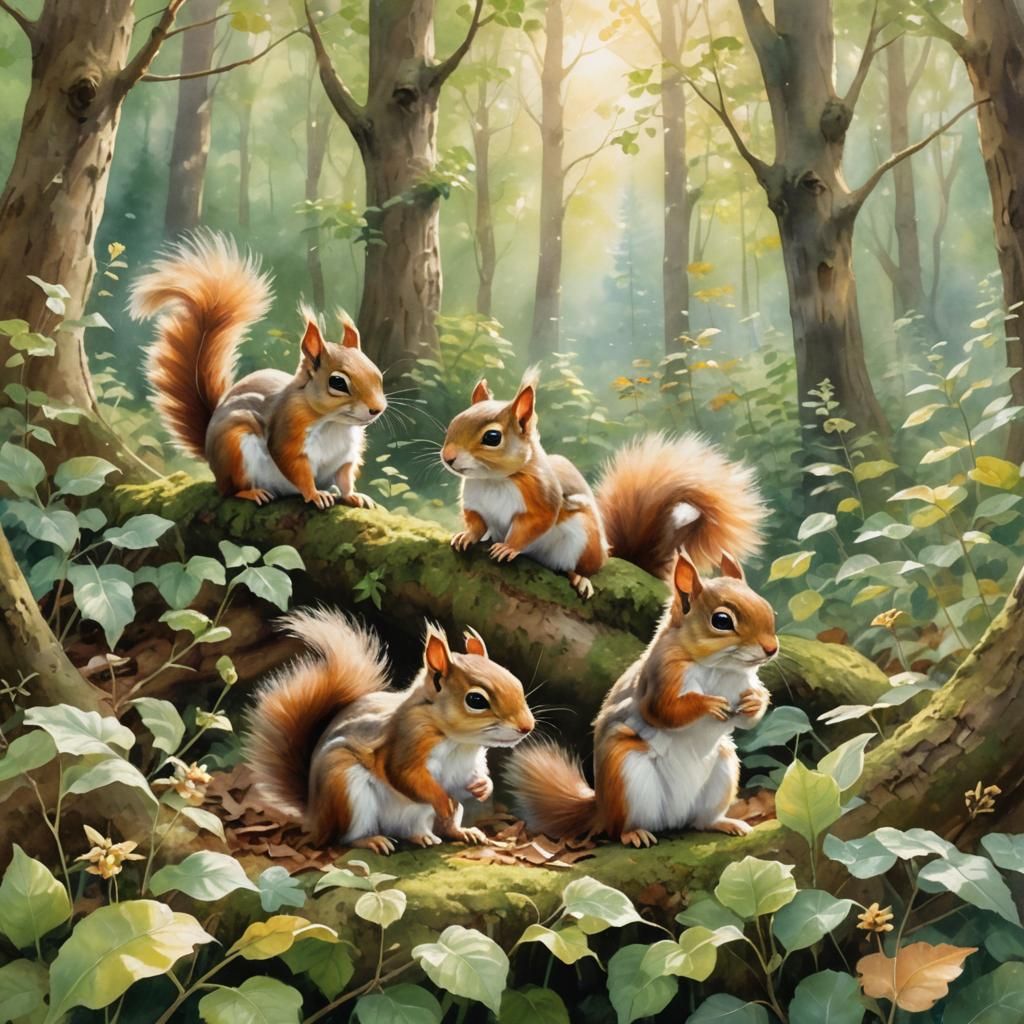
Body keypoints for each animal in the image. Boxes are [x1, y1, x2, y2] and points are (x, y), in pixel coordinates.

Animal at [130, 231, 386, 511]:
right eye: (338, 383)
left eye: (378, 375)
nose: (377, 409)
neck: (334, 422)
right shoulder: (288, 436)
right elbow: (297, 470)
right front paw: (315, 494)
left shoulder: (346, 455)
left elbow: (345, 476)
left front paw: (354, 495)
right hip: (235, 449)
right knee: (229, 490)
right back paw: (252, 493)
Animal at [245, 608, 535, 854]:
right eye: (476, 700)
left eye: (515, 681)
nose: (527, 727)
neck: (459, 742)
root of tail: (317, 818)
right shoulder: (407, 741)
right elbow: (404, 775)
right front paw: (442, 799)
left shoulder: (467, 765)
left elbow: (472, 777)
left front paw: (483, 787)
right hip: (345, 789)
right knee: (345, 838)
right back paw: (373, 840)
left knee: (428, 829)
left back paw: (454, 833)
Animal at [440, 370, 764, 597]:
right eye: (452, 425)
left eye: (492, 437)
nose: (448, 457)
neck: (492, 480)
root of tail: (606, 552)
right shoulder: (474, 504)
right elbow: (476, 521)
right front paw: (467, 536)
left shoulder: (543, 500)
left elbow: (532, 525)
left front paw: (508, 547)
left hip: (581, 540)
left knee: (579, 568)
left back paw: (579, 577)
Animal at [505, 550, 777, 847]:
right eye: (722, 621)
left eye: (768, 608)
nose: (772, 649)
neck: (719, 667)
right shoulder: (662, 676)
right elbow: (663, 710)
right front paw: (709, 704)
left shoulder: (742, 682)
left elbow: (749, 719)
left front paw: (755, 701)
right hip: (625, 774)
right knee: (618, 828)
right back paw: (634, 833)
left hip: (723, 770)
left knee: (701, 821)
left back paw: (725, 823)